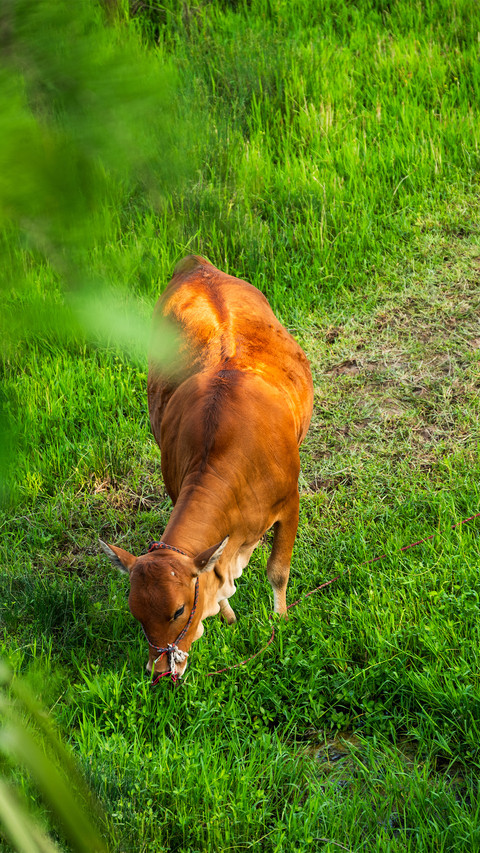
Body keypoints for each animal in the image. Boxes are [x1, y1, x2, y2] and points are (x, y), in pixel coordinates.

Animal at [100, 255, 313, 680]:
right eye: (136, 614)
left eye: (178, 609)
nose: (160, 671)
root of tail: (198, 264)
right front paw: (228, 618)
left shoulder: (290, 502)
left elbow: (277, 570)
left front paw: (280, 621)